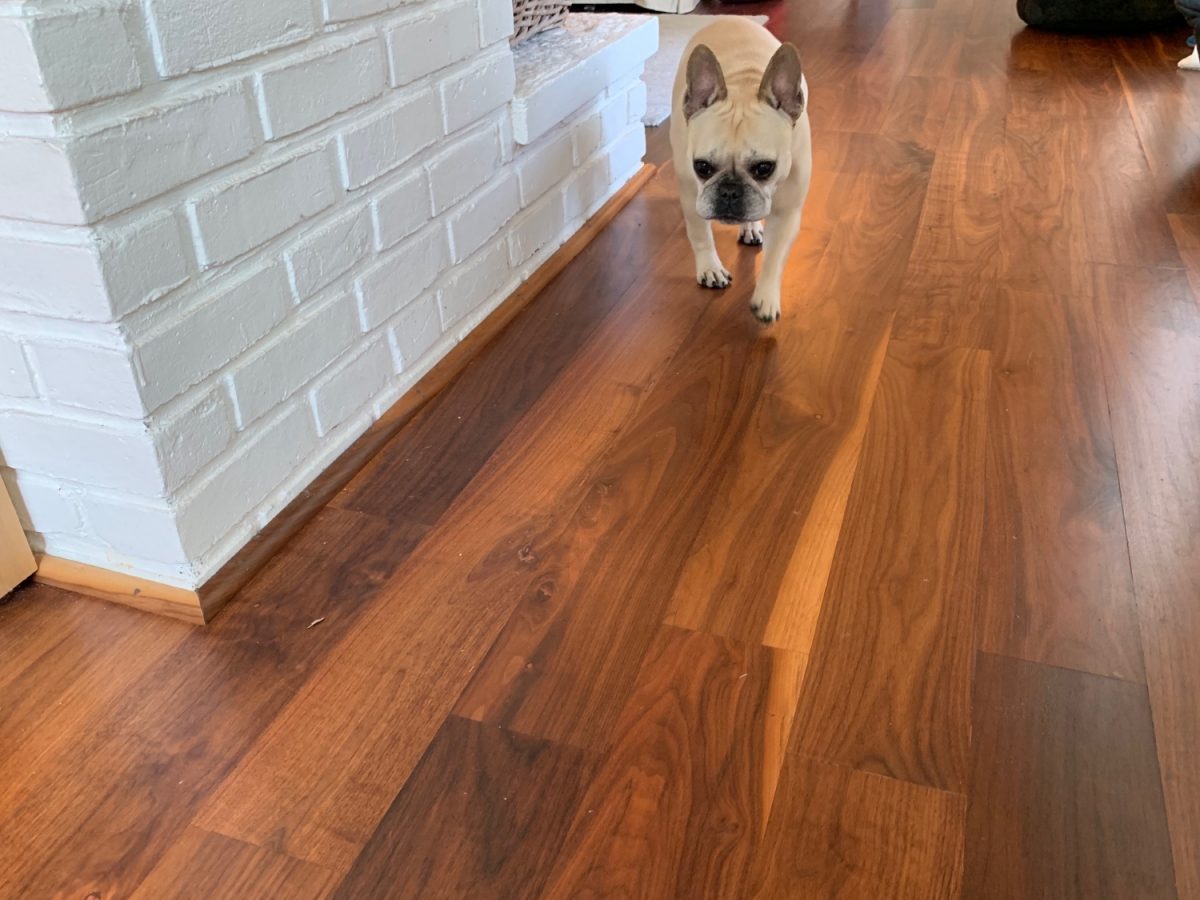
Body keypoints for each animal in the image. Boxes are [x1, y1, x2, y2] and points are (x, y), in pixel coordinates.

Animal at [672, 17, 811, 324]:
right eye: (702, 166)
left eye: (765, 168)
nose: (729, 192)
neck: (744, 85)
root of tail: (730, 18)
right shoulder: (691, 196)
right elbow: (700, 235)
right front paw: (710, 268)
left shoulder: (787, 213)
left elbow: (775, 256)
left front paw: (766, 297)